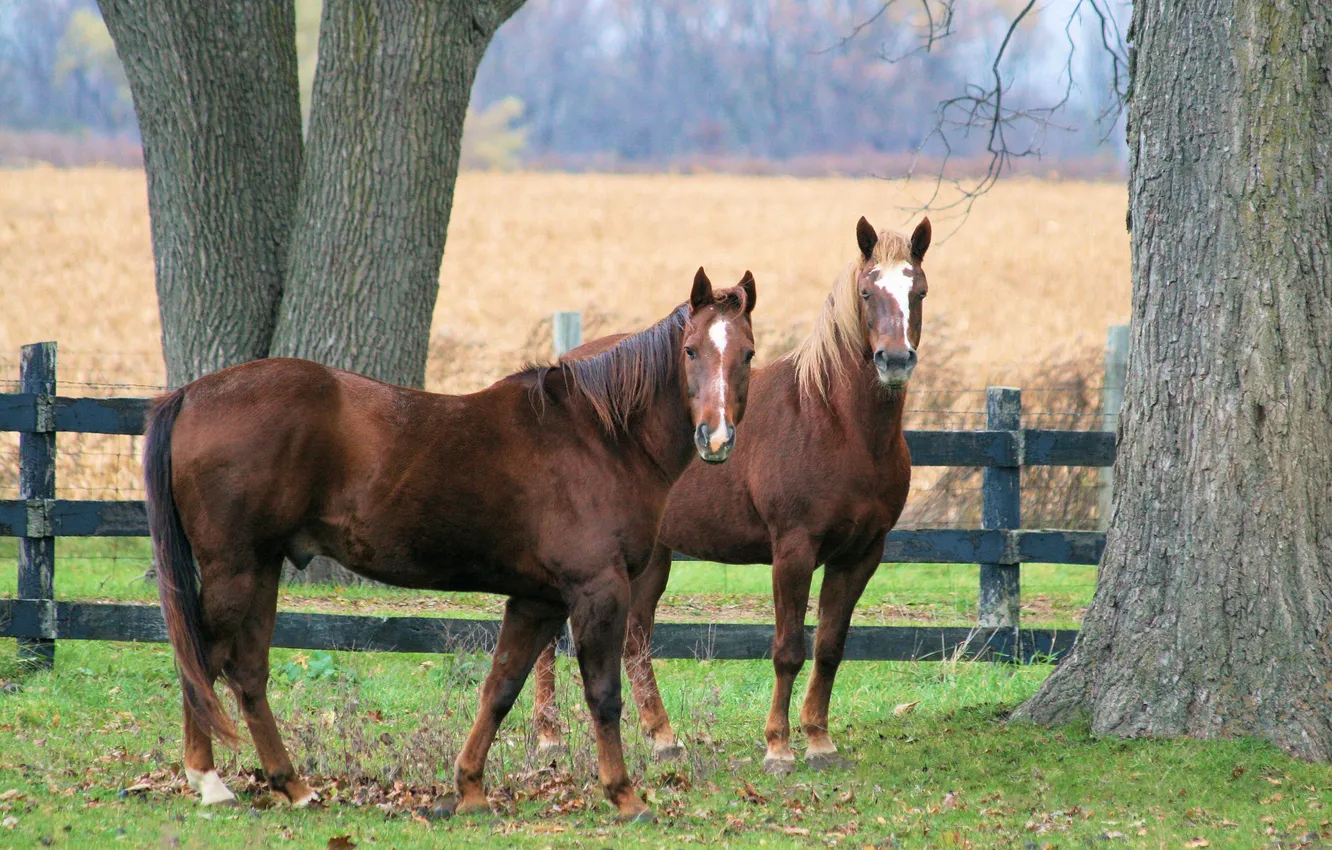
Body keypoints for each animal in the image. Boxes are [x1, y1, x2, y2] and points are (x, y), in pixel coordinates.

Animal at [142, 268, 758, 822]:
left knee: (246, 671)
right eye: (691, 350)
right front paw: (626, 797)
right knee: (204, 661)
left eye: (748, 354)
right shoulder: (597, 590)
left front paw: (469, 790)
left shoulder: (538, 600)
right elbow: (603, 695)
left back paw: (292, 786)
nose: (717, 438)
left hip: (263, 567)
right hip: (234, 569)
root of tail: (191, 394)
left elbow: (500, 688)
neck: (601, 437)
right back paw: (210, 782)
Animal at [533, 216, 931, 774]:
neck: (836, 423)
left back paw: (663, 737)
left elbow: (830, 647)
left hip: (653, 554)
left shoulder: (861, 555)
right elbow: (788, 648)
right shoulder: (793, 549)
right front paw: (779, 748)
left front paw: (820, 741)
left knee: (635, 638)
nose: (893, 360)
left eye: (918, 291)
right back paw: (549, 737)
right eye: (867, 291)